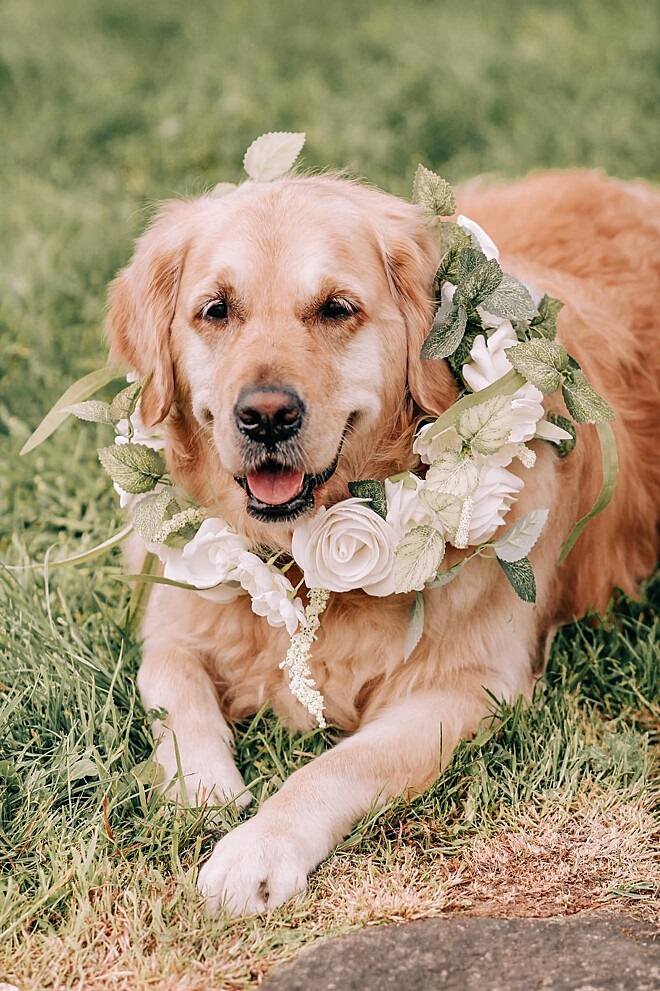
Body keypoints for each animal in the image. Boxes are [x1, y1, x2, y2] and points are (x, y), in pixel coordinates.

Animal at [107, 169, 660, 916]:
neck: (300, 566)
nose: (266, 416)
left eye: (337, 308)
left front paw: (259, 847)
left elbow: (343, 762)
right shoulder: (174, 613)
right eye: (215, 310)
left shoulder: (465, 687)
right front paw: (204, 789)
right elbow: (173, 688)